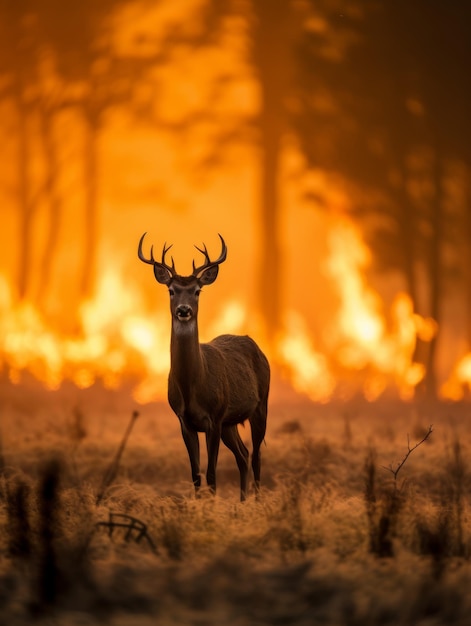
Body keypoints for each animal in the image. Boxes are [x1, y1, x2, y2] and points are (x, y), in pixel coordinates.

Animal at [137, 232, 270, 500]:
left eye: (197, 291)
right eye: (171, 290)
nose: (183, 310)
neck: (193, 387)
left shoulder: (214, 417)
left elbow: (211, 475)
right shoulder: (184, 420)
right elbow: (196, 475)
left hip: (260, 405)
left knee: (257, 456)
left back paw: (257, 502)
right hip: (231, 421)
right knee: (243, 455)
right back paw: (242, 502)